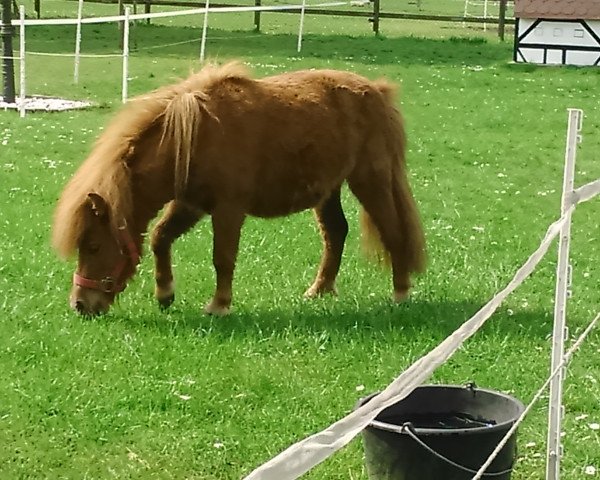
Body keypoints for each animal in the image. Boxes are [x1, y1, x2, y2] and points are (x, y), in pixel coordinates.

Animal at [52, 61, 426, 316]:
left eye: (93, 246)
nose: (80, 304)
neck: (196, 136)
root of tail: (377, 91)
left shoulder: (228, 209)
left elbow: (223, 257)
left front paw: (219, 305)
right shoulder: (191, 204)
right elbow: (160, 237)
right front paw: (165, 293)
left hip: (371, 181)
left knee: (392, 232)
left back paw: (401, 293)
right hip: (328, 190)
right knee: (335, 233)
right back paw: (318, 290)